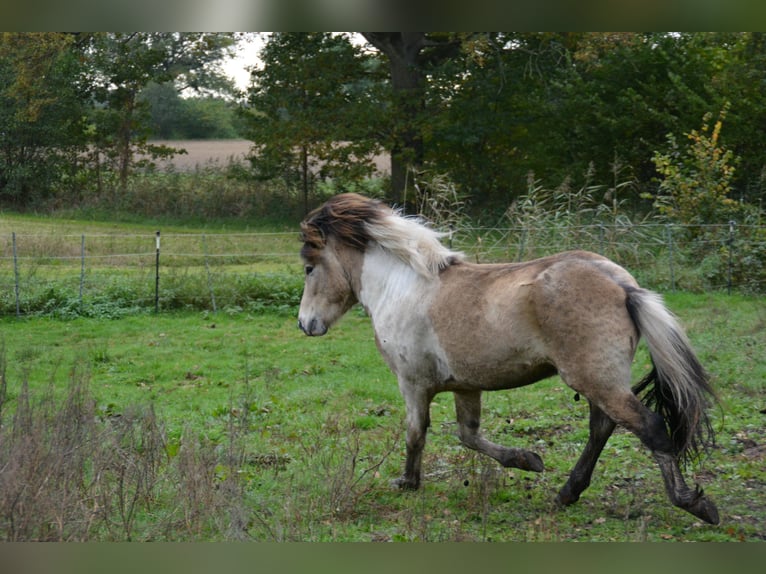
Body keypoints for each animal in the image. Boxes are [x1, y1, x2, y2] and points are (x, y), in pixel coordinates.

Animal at [297, 192, 719, 524]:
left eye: (308, 268)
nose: (305, 324)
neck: (403, 288)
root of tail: (622, 285)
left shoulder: (412, 383)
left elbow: (416, 433)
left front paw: (407, 483)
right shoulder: (465, 385)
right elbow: (469, 435)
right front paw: (528, 460)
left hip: (596, 380)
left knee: (649, 427)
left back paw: (694, 504)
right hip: (601, 380)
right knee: (602, 427)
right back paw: (567, 493)